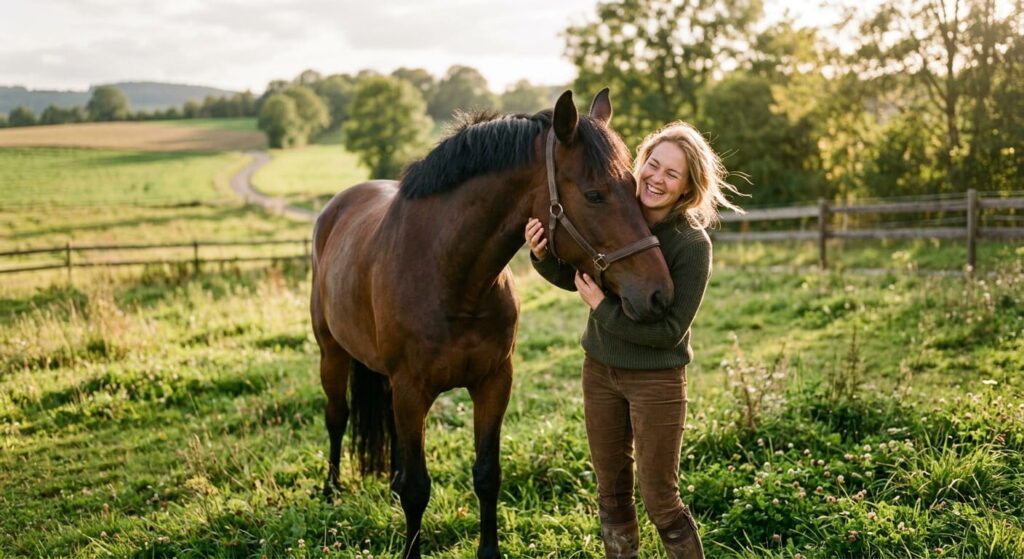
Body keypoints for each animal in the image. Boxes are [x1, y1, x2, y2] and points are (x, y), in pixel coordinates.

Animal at [310, 89, 673, 559]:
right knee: (337, 417)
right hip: (332, 354)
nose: (659, 294)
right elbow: (417, 490)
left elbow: (486, 474)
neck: (451, 279)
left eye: (636, 187)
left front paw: (489, 551)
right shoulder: (412, 390)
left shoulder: (494, 382)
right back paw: (332, 489)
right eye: (595, 195)